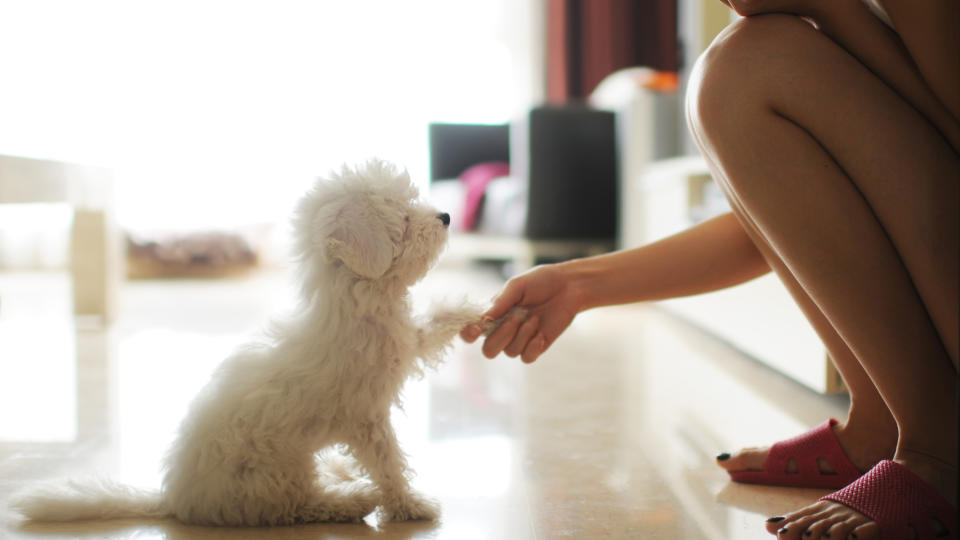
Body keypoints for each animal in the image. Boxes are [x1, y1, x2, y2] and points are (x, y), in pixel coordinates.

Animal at [17, 160, 488, 528]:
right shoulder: (366, 417)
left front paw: (478, 312)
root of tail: (175, 499)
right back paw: (350, 497)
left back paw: (338, 472)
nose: (446, 216)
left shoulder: (406, 341)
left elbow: (433, 325)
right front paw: (410, 505)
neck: (357, 303)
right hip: (274, 472)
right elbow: (388, 463)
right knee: (298, 506)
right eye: (404, 218)